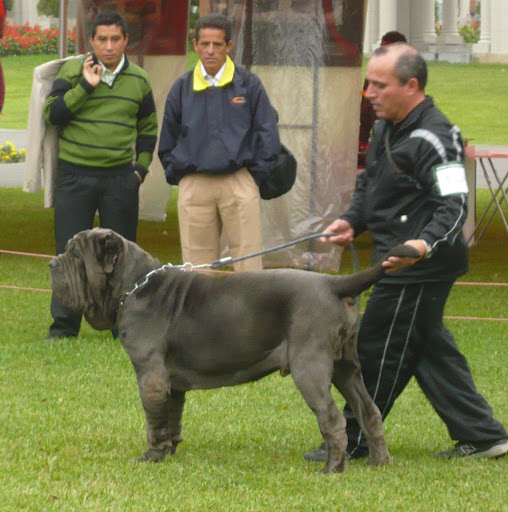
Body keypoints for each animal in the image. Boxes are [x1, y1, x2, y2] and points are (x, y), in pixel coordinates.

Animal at [49, 227, 418, 472]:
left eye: (75, 256)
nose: (52, 263)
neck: (135, 285)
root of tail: (333, 283)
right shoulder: (172, 382)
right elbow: (172, 418)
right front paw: (169, 453)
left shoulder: (150, 375)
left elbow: (154, 420)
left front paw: (150, 457)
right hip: (346, 366)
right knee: (368, 409)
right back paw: (379, 461)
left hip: (309, 366)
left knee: (331, 418)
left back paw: (332, 469)